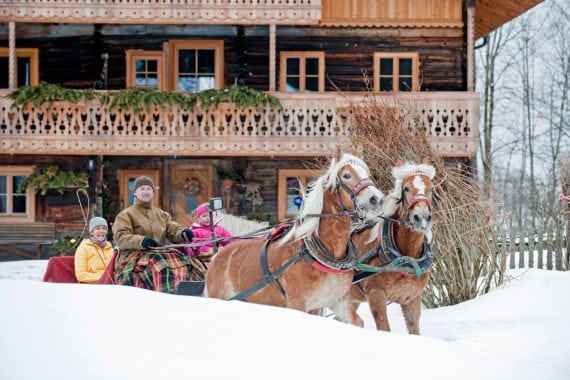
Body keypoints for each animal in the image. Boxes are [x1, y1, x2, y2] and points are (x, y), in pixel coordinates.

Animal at [202, 153, 384, 326]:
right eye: (346, 175)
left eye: (367, 173)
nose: (377, 199)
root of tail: (218, 255)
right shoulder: (297, 303)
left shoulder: (337, 301)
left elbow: (358, 323)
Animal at [344, 159, 432, 334]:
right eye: (406, 188)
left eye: (431, 187)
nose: (421, 217)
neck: (405, 257)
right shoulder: (376, 295)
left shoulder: (412, 299)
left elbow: (415, 330)